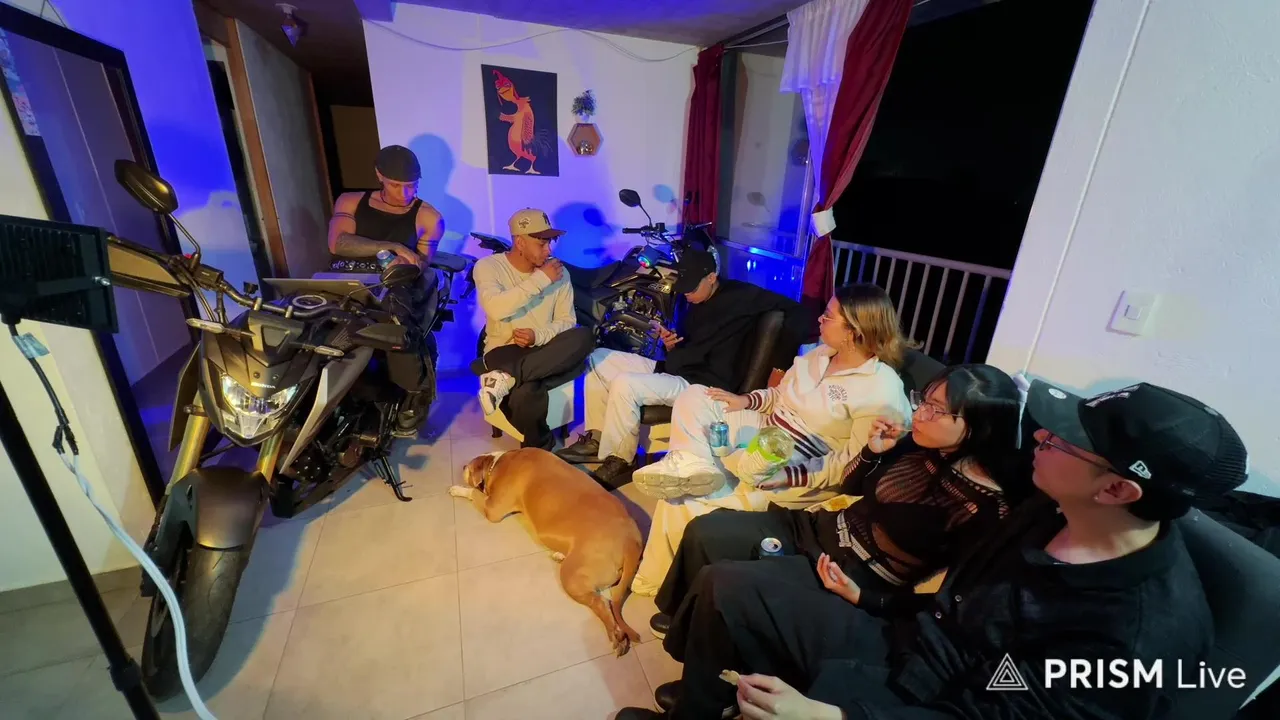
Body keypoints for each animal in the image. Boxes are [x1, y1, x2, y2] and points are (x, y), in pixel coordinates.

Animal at [452, 448, 644, 656]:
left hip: (572, 577)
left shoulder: (492, 509)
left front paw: (458, 489)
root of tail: (631, 541)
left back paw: (616, 636)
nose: (463, 466)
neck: (496, 463)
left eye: (470, 466)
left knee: (601, 603)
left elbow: (473, 492)